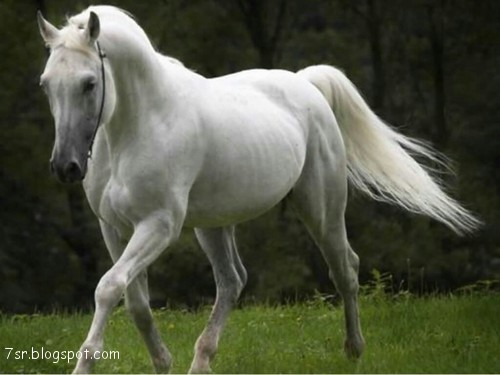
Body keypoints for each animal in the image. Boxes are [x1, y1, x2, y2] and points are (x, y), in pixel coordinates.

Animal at [38, 6, 476, 375]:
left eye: (89, 83)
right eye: (46, 85)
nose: (65, 167)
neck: (141, 124)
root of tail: (306, 83)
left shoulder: (158, 226)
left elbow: (108, 288)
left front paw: (86, 364)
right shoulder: (113, 228)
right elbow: (135, 301)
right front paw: (162, 363)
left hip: (320, 209)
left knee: (344, 269)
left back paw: (353, 351)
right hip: (213, 224)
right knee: (232, 280)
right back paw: (201, 362)